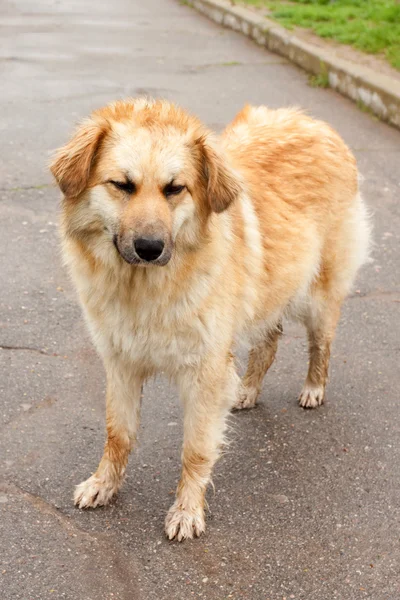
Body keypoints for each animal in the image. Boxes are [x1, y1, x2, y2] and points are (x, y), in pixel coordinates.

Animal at [51, 98, 370, 540]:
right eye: (122, 185)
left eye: (175, 188)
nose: (149, 247)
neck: (145, 289)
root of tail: (312, 121)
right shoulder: (121, 364)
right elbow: (118, 434)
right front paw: (104, 484)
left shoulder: (205, 372)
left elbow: (196, 449)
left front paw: (187, 510)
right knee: (269, 342)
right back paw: (248, 391)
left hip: (317, 296)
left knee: (320, 343)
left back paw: (313, 388)